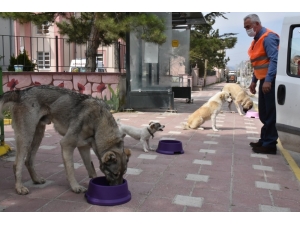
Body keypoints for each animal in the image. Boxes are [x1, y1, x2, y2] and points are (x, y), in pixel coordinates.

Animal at [0, 85, 131, 194]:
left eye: (124, 173)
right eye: (115, 174)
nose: (118, 189)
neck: (98, 121)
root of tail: (21, 92)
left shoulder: (84, 147)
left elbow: (91, 167)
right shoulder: (66, 144)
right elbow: (71, 169)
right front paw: (75, 187)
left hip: (38, 135)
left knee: (28, 161)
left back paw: (36, 179)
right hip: (27, 137)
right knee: (17, 164)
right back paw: (19, 188)